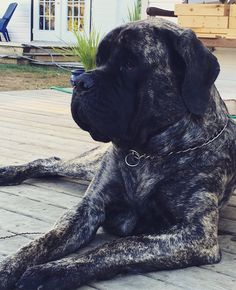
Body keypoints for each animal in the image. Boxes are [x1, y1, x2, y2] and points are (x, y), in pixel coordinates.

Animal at [0, 18, 236, 290]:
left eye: (130, 64)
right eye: (99, 59)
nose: (80, 82)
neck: (145, 153)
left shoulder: (195, 233)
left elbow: (120, 246)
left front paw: (51, 272)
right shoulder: (88, 209)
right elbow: (42, 241)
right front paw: (8, 267)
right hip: (89, 166)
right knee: (50, 161)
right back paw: (8, 173)